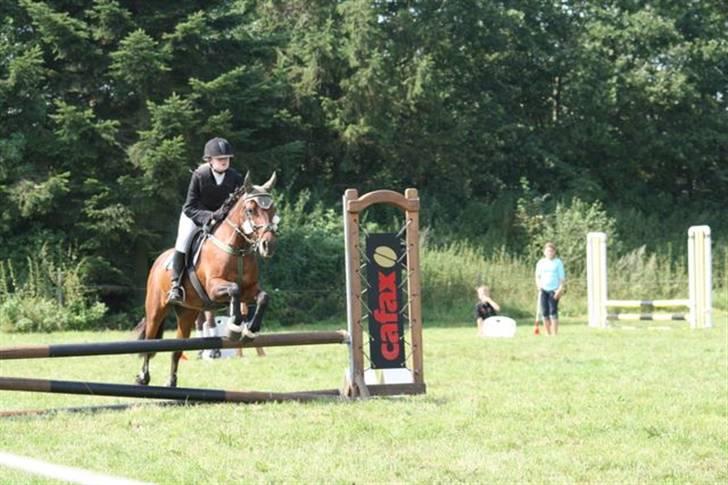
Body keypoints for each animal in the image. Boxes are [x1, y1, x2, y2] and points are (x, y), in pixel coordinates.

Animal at [131, 170, 278, 386]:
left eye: (273, 209)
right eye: (251, 210)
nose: (269, 245)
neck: (238, 250)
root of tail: (159, 260)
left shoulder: (250, 289)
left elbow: (263, 297)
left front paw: (250, 329)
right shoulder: (214, 288)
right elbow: (234, 289)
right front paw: (234, 327)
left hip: (187, 313)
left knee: (177, 349)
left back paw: (171, 382)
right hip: (156, 309)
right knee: (149, 341)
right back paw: (143, 377)